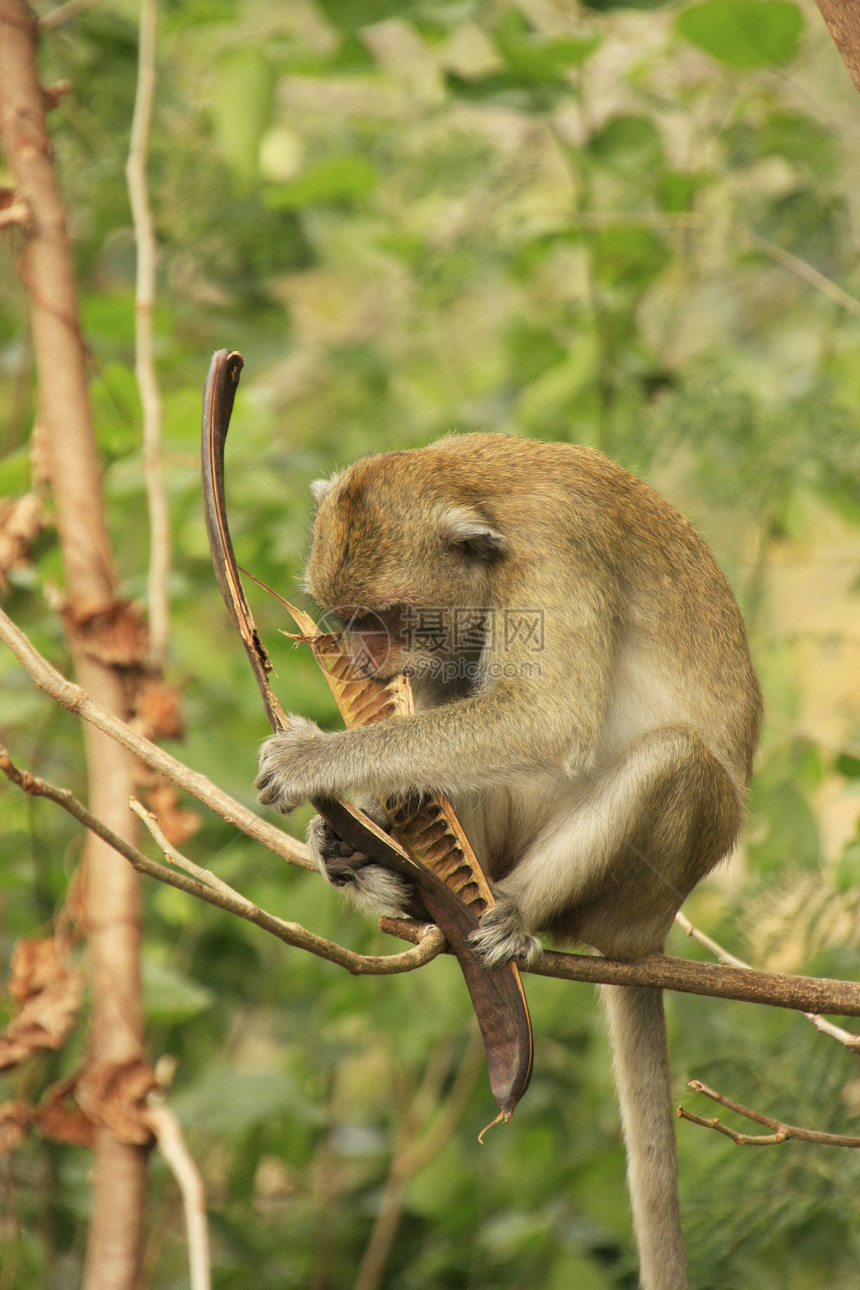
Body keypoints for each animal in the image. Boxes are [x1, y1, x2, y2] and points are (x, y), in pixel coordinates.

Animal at [255, 433, 758, 1290]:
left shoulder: (559, 552)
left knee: (674, 759)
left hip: (638, 889)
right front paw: (348, 824)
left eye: (383, 619)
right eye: (347, 620)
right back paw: (385, 871)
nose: (358, 657)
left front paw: (318, 760)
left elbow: (548, 718)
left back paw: (512, 914)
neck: (476, 493)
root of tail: (645, 939)